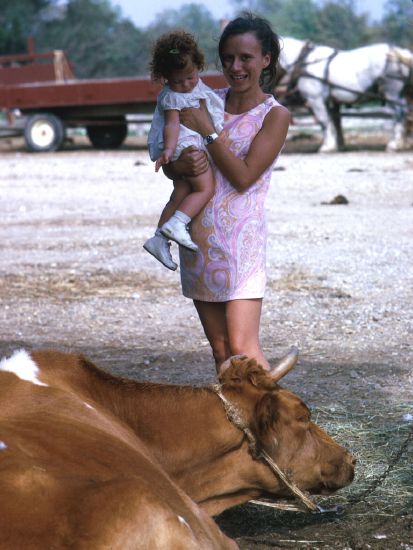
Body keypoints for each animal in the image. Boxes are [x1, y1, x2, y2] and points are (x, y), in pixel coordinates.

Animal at [276, 37, 412, 153]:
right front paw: (334, 145)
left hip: (392, 93)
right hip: (397, 94)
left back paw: (394, 144)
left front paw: (327, 147)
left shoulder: (315, 99)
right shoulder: (325, 101)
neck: (303, 61)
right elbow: (331, 120)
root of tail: (400, 52)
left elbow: (323, 121)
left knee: (398, 114)